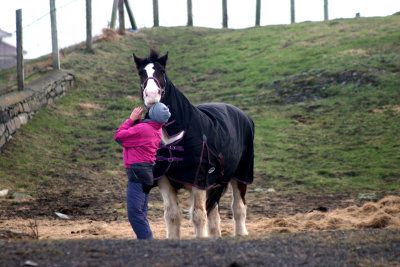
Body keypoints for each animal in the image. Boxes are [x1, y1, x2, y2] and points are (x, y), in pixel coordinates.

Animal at [133, 49, 255, 239]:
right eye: (141, 73)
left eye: (162, 71)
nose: (152, 96)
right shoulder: (165, 181)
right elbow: (172, 215)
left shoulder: (199, 179)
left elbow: (198, 215)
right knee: (214, 213)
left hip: (241, 175)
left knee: (238, 207)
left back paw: (241, 233)